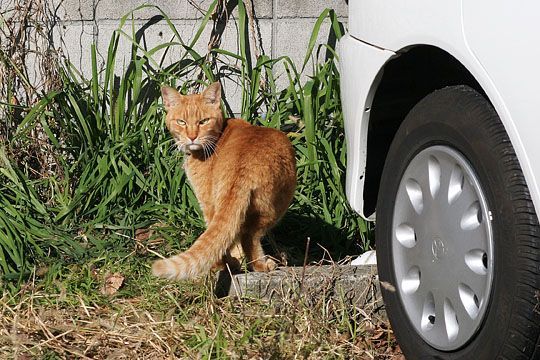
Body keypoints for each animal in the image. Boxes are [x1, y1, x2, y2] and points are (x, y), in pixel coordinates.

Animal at [151, 82, 296, 282]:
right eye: (181, 122)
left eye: (203, 121)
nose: (192, 136)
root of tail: (246, 164)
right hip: (268, 207)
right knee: (246, 235)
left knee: (243, 235)